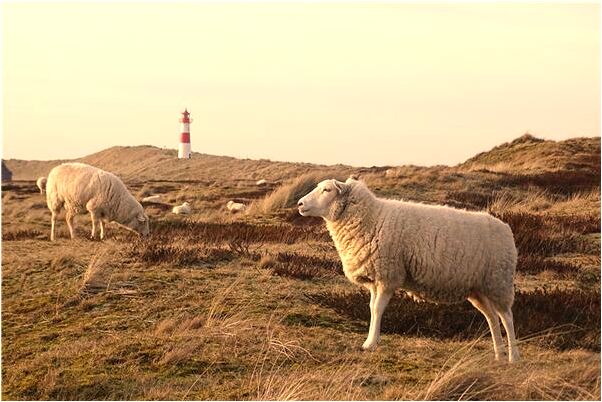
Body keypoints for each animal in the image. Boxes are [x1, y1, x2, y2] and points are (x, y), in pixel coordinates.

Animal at [296, 177, 516, 362]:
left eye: (327, 190)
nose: (299, 204)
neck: (371, 218)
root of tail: (507, 228)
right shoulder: (376, 277)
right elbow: (371, 308)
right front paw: (370, 340)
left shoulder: (388, 275)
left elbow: (378, 309)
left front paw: (371, 344)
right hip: (479, 289)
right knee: (492, 317)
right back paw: (499, 355)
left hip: (499, 282)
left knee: (506, 317)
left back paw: (514, 356)